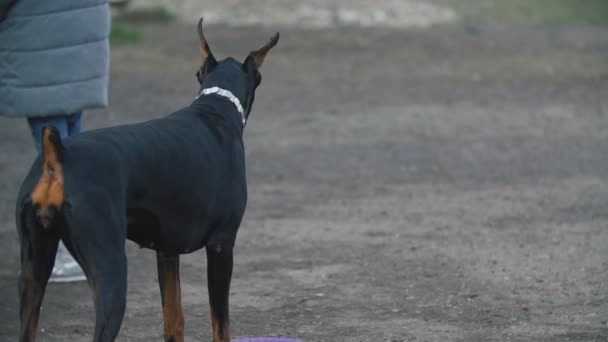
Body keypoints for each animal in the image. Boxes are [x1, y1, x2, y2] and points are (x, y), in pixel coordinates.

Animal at [14, 19, 280, 342]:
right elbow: (221, 325)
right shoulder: (221, 245)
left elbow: (174, 320)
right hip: (110, 270)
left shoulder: (166, 251)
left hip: (33, 271)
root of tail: (59, 156)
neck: (216, 108)